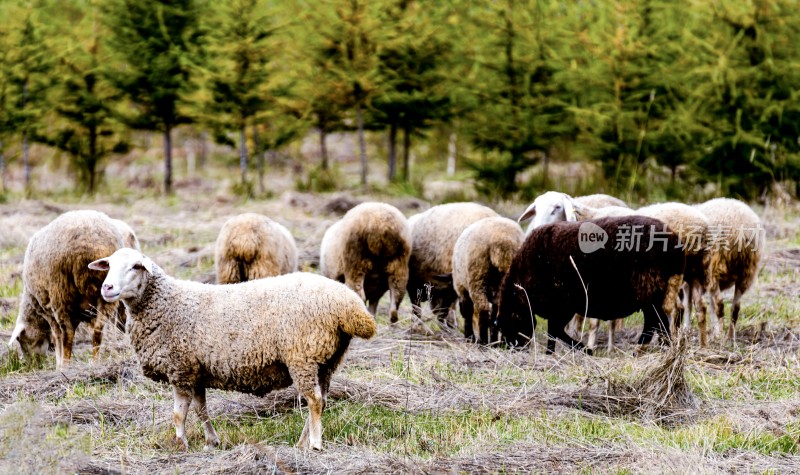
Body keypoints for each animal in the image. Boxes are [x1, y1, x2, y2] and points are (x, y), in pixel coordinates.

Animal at [7, 210, 139, 370]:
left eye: (22, 340)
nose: (32, 365)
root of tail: (89, 245)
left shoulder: (48, 310)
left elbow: (57, 336)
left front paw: (58, 364)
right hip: (107, 295)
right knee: (99, 329)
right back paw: (96, 362)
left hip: (61, 291)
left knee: (68, 333)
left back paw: (66, 365)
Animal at [87, 247, 376, 452]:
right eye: (109, 265)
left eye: (136, 266)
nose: (107, 288)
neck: (165, 302)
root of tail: (349, 306)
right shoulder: (196, 370)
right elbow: (201, 410)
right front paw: (210, 442)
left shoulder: (180, 368)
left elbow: (179, 413)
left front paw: (180, 444)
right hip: (327, 360)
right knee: (321, 399)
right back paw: (303, 442)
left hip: (302, 355)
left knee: (314, 400)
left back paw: (314, 445)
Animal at [490, 218, 684, 356]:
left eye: (507, 325)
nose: (513, 349)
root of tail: (674, 243)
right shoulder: (559, 308)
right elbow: (553, 332)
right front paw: (551, 353)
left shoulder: (562, 305)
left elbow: (555, 330)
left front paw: (585, 349)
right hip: (653, 293)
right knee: (656, 322)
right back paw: (657, 348)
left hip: (648, 290)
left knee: (656, 322)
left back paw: (654, 348)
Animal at [692, 197, 764, 342]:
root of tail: (739, 230)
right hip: (746, 273)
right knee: (735, 308)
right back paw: (730, 337)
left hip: (713, 268)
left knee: (720, 305)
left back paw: (721, 337)